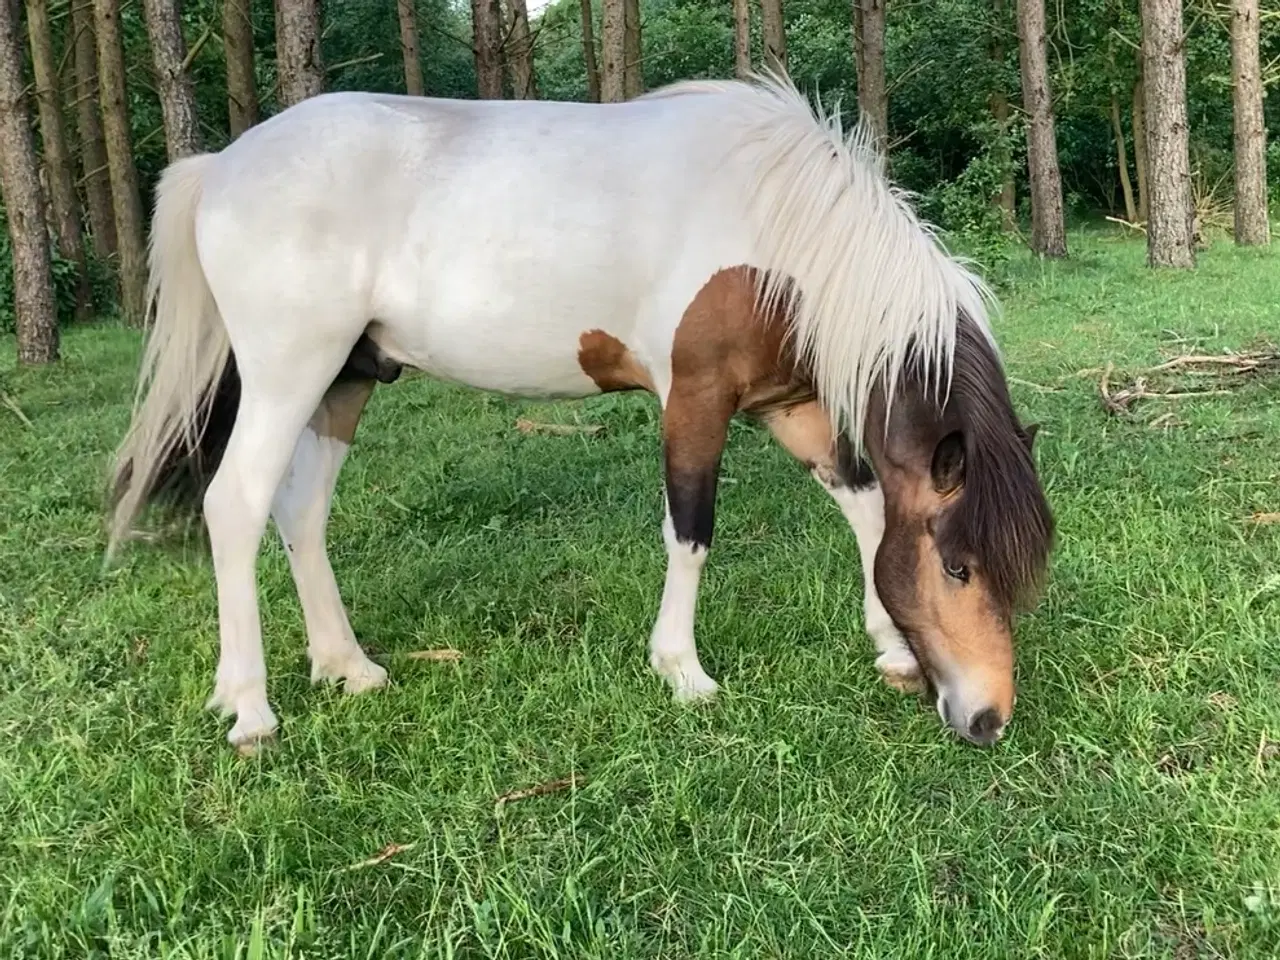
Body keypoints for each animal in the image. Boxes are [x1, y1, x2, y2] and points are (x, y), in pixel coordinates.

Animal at [107, 73, 1049, 752]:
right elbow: (691, 531)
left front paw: (888, 646)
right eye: (959, 567)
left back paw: (346, 666)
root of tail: (221, 164)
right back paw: (251, 709)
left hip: (345, 380)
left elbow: (863, 504)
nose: (990, 719)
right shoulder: (695, 399)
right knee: (236, 505)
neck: (779, 222)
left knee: (300, 512)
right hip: (286, 374)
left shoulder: (788, 404)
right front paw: (682, 672)